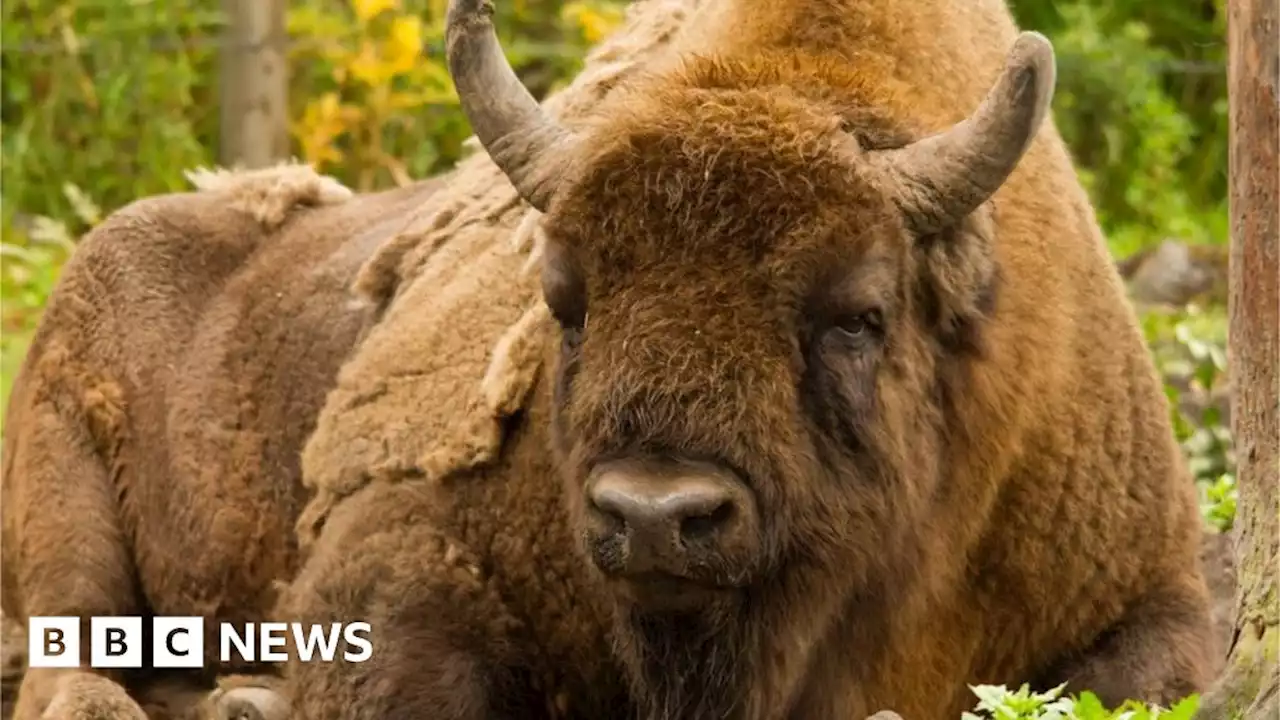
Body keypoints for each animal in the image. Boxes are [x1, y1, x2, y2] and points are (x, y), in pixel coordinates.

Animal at [2, 0, 1218, 712]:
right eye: (564, 301)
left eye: (858, 315)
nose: (655, 516)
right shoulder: (394, 557)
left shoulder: (1154, 592)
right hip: (64, 506)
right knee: (75, 679)